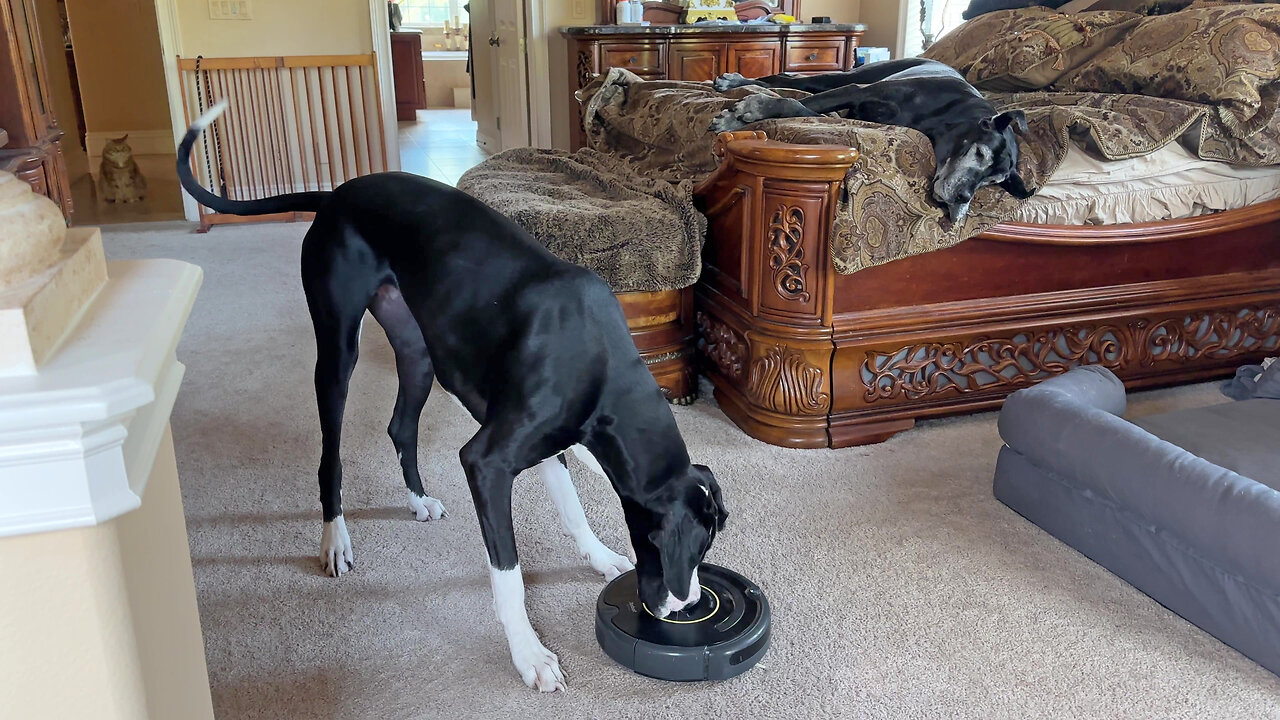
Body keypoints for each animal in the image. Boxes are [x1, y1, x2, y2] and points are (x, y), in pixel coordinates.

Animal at [175, 101, 727, 691]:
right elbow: (508, 572)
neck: (600, 365)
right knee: (331, 456)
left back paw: (416, 500)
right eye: (688, 549)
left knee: (400, 426)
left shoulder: (548, 445)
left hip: (418, 354)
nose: (689, 605)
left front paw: (599, 557)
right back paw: (335, 539)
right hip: (338, 354)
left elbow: (574, 507)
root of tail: (336, 196)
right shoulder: (486, 461)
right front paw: (529, 655)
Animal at [706, 57, 1034, 220]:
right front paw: (750, 108)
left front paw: (749, 109)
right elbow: (793, 102)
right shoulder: (857, 91)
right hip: (851, 76)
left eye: (993, 183)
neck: (946, 114)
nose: (964, 198)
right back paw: (735, 81)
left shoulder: (857, 110)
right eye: (980, 153)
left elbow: (804, 108)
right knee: (786, 79)